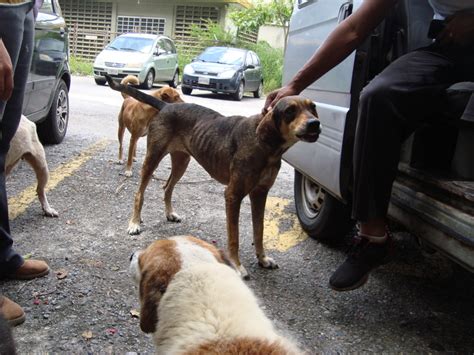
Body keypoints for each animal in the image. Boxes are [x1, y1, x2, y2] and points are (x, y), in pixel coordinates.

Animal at [106, 75, 322, 280]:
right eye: (290, 110)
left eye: (313, 107)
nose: (315, 124)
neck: (266, 145)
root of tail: (167, 106)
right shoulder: (233, 195)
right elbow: (234, 237)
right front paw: (236, 265)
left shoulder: (260, 194)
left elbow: (259, 232)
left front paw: (262, 259)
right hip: (153, 159)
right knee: (139, 193)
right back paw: (134, 223)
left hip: (181, 162)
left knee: (167, 187)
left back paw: (169, 213)